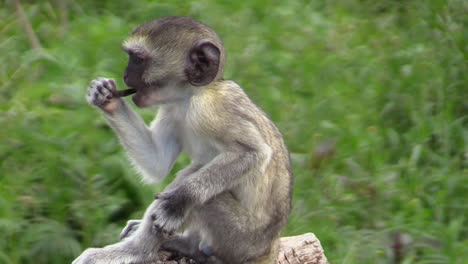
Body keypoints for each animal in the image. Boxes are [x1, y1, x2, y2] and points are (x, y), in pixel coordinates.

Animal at [73, 16, 292, 264]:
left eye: (138, 60)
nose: (125, 76)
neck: (190, 97)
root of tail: (269, 247)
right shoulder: (171, 110)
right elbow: (157, 163)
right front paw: (105, 96)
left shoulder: (211, 110)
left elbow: (254, 153)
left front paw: (179, 202)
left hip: (241, 238)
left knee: (199, 183)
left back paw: (137, 251)